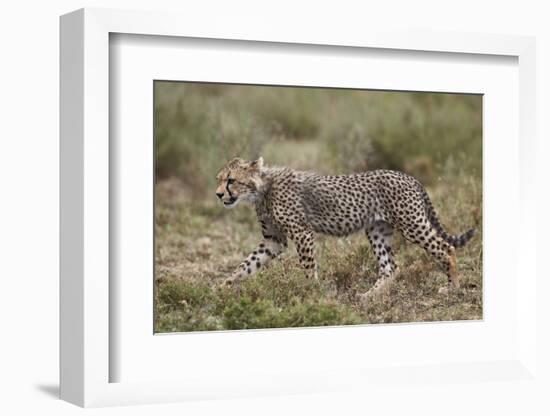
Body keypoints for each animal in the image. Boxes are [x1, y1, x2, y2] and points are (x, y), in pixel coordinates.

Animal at [217, 157, 478, 300]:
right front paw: (223, 287)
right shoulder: (274, 240)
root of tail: (407, 176)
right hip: (377, 230)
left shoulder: (302, 233)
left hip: (411, 223)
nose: (218, 194)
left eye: (231, 180)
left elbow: (308, 268)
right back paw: (369, 296)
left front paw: (311, 293)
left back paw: (452, 287)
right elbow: (246, 264)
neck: (262, 189)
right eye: (219, 179)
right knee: (390, 267)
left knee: (445, 248)